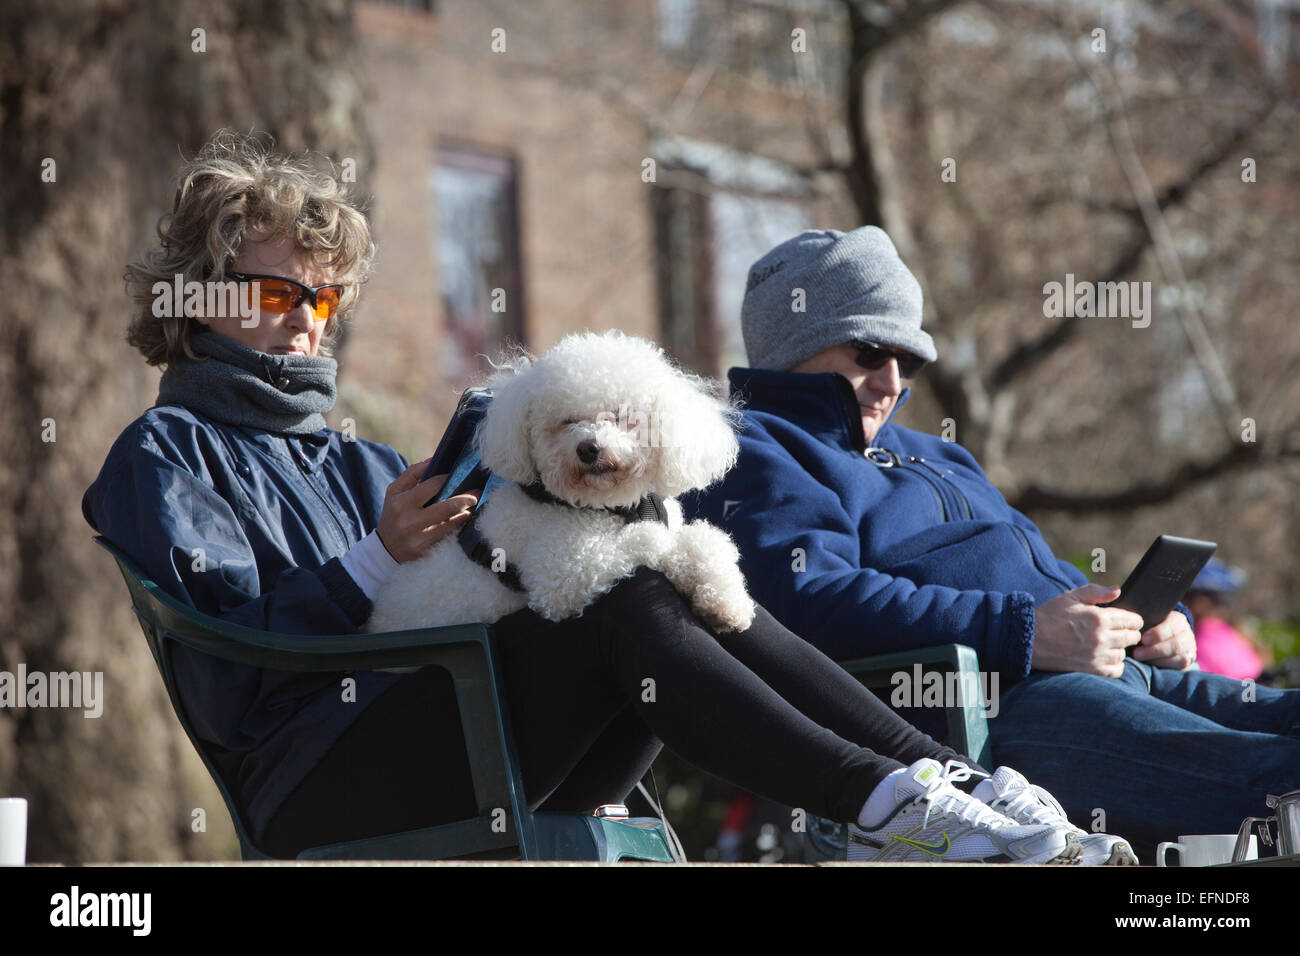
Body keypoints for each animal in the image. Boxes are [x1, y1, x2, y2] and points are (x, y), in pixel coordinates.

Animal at [366, 329, 759, 634]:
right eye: (567, 421)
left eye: (621, 416)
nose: (589, 449)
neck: (610, 506)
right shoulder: (562, 572)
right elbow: (651, 541)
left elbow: (707, 541)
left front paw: (726, 601)